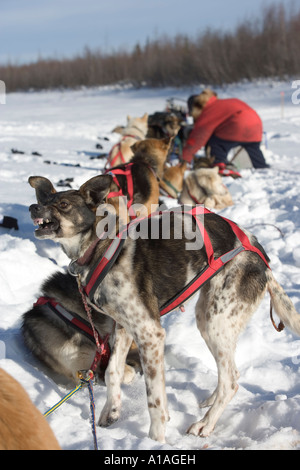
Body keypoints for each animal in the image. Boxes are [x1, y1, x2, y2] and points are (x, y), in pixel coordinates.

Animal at [28, 177, 300, 444]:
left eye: (63, 204)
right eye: (44, 198)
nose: (33, 207)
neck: (101, 249)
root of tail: (261, 258)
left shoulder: (150, 334)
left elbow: (155, 400)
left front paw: (155, 439)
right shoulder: (124, 327)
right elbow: (114, 370)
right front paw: (111, 411)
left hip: (216, 323)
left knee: (231, 380)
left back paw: (205, 424)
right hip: (209, 318)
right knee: (229, 374)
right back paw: (211, 401)